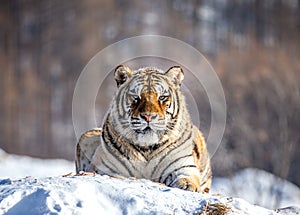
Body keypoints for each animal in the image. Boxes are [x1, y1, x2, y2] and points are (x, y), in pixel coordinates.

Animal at [75, 64, 212, 192]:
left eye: (162, 97)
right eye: (136, 97)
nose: (148, 116)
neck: (147, 148)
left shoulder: (183, 166)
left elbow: (188, 177)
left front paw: (187, 185)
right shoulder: (103, 167)